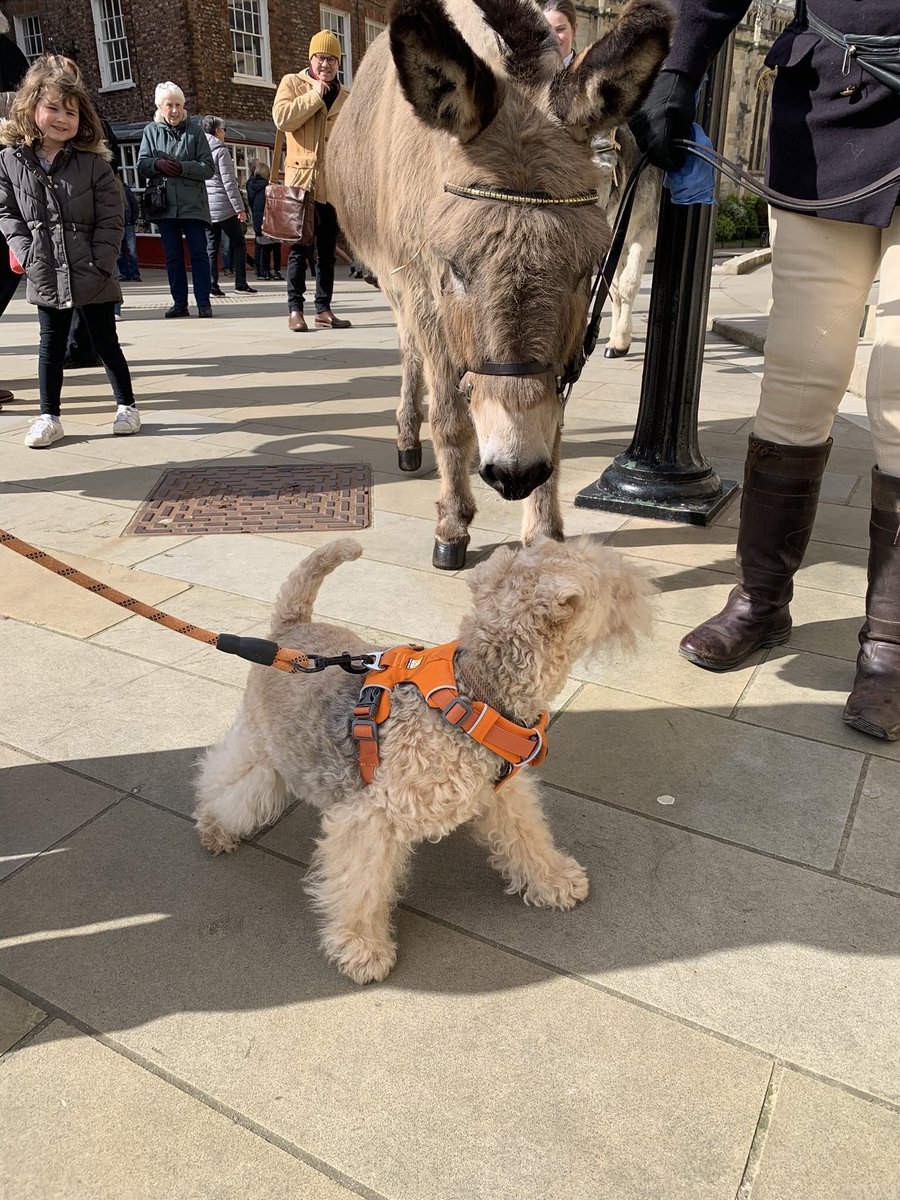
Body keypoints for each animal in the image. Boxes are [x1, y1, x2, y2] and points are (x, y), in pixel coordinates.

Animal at [194, 537, 652, 984]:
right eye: (611, 581)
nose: (644, 586)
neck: (477, 691)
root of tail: (290, 628)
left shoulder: (503, 795)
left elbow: (529, 838)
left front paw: (555, 881)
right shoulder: (372, 817)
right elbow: (360, 886)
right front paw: (363, 949)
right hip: (262, 748)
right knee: (224, 785)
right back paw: (215, 830)